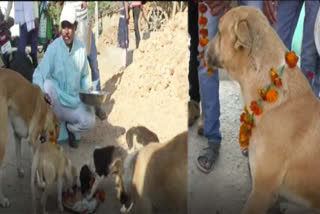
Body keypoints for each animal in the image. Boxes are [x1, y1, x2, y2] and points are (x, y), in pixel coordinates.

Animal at [0, 69, 59, 208]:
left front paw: (20, 170)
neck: (46, 111)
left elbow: (18, 154)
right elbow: (36, 165)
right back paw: (2, 199)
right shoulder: (32, 141)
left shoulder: (17, 134)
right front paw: (41, 183)